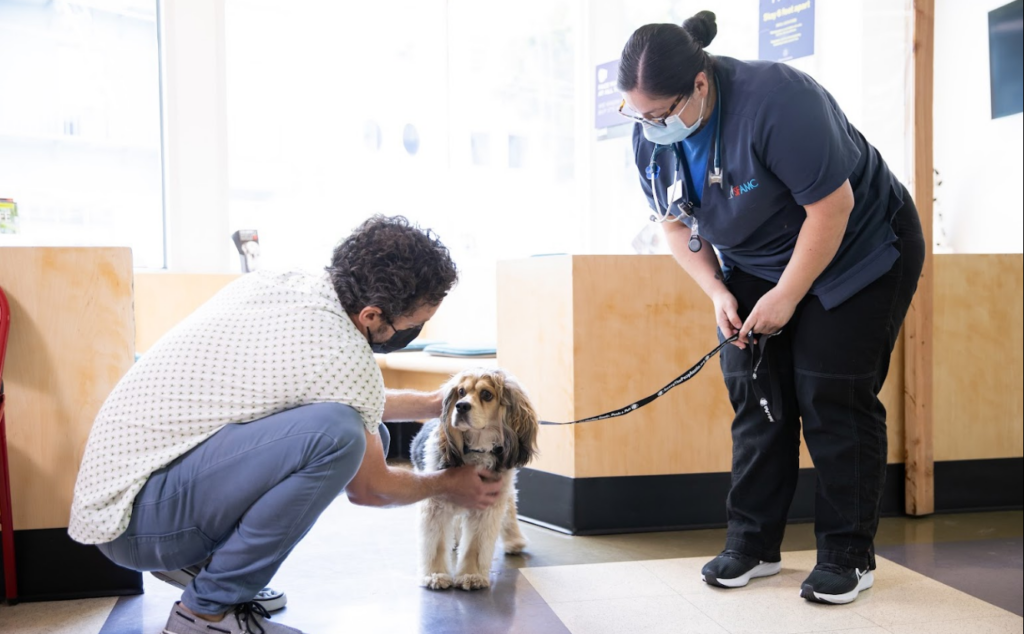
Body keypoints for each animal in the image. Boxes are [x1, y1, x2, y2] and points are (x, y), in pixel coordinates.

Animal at [409, 366, 540, 589]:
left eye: (486, 394)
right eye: (461, 392)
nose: (461, 406)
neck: (477, 448)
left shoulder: (487, 505)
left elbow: (475, 546)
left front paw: (471, 575)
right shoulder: (436, 505)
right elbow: (435, 543)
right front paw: (435, 574)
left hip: (504, 492)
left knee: (510, 511)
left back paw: (514, 540)